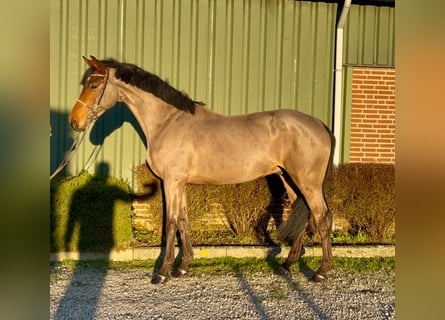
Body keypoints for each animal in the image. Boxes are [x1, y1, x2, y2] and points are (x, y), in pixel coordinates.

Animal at [68, 55, 332, 284]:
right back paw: (286, 266)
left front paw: (162, 272)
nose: (75, 122)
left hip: (308, 182)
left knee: (322, 217)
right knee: (304, 215)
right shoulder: (181, 183)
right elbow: (184, 221)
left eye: (93, 85)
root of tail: (320, 124)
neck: (167, 122)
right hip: (289, 179)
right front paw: (183, 267)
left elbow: (171, 222)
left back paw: (321, 272)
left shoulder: (171, 182)